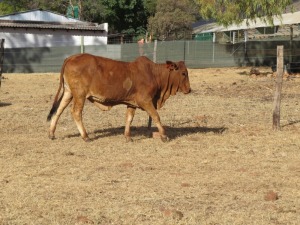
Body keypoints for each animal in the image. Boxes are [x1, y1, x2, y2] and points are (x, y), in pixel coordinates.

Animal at [47, 53, 191, 142]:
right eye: (183, 73)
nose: (189, 89)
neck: (154, 74)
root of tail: (71, 57)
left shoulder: (132, 103)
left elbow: (129, 119)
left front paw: (128, 137)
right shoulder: (145, 101)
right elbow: (156, 116)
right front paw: (164, 136)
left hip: (68, 93)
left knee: (58, 111)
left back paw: (52, 133)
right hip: (80, 95)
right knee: (76, 112)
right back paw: (85, 136)